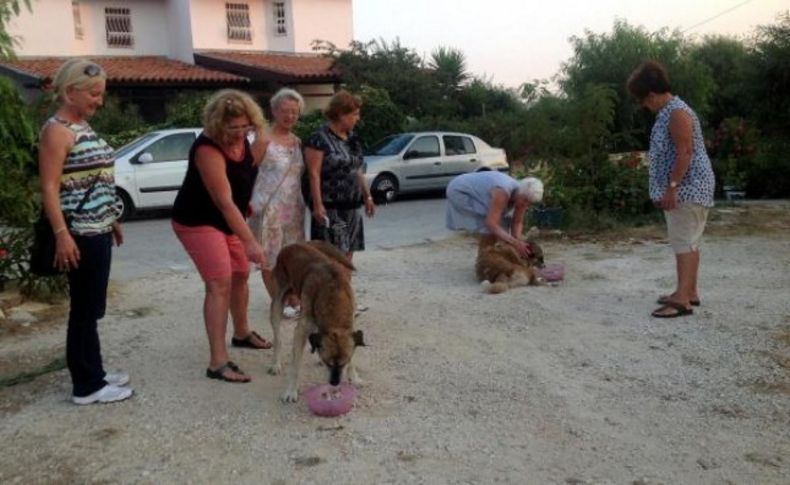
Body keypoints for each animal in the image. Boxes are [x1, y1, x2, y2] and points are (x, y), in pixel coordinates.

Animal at [266, 240, 366, 402]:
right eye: (328, 363)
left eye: (343, 363)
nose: (334, 383)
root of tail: (294, 244)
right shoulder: (300, 331)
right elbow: (295, 366)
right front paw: (291, 390)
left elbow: (352, 356)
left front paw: (354, 377)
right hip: (277, 302)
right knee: (277, 337)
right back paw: (276, 363)